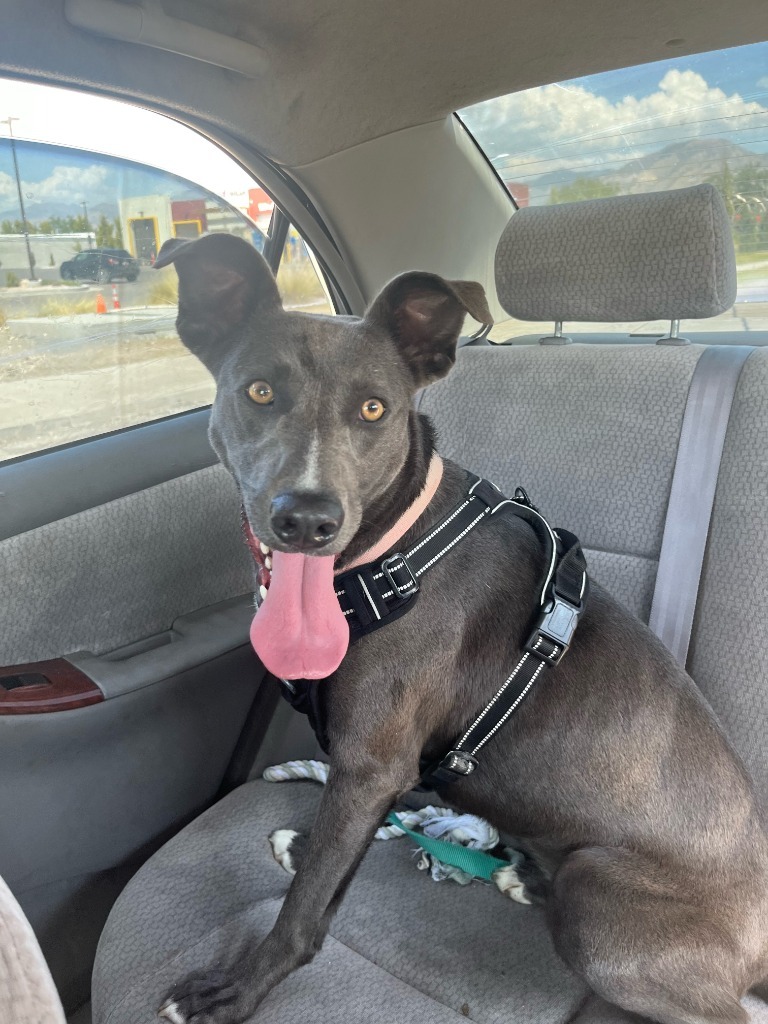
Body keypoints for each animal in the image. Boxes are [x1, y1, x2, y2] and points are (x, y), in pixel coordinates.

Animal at [153, 234, 765, 1024]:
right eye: (258, 392)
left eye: (374, 409)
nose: (307, 519)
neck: (393, 554)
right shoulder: (374, 768)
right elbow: (333, 850)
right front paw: (311, 843)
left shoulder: (371, 763)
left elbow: (305, 908)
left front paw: (235, 991)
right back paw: (522, 875)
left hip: (604, 912)